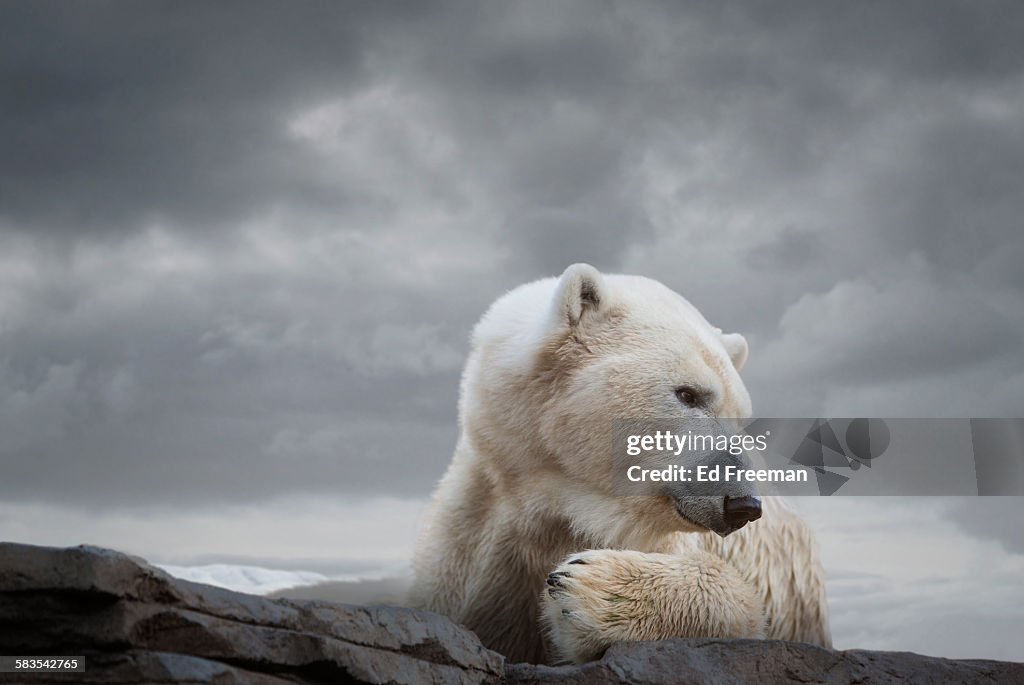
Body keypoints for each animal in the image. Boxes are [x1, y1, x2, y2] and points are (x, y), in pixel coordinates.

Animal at [403, 264, 827, 663]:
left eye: (740, 418)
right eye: (688, 394)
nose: (743, 504)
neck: (555, 500)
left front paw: (586, 590)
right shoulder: (473, 540)